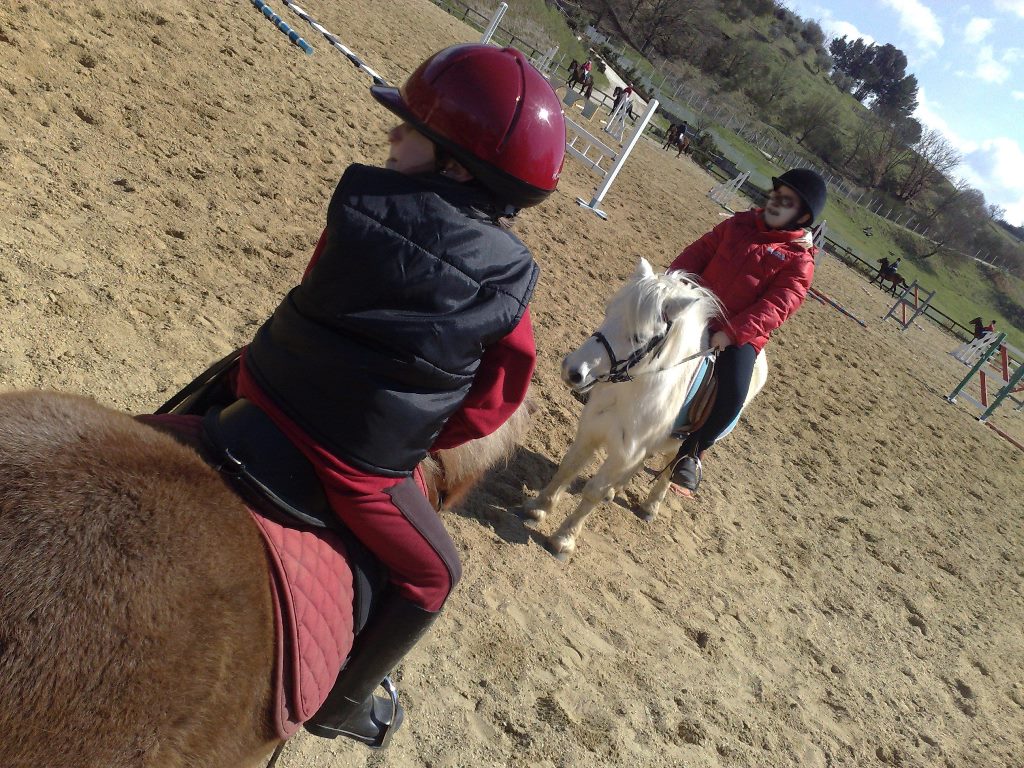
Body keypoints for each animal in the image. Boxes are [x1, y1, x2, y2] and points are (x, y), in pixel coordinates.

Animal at [520, 262, 770, 561]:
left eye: (639, 337)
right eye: (608, 312)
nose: (573, 371)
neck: (632, 391)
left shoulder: (627, 450)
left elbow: (593, 491)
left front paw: (563, 540)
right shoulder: (593, 430)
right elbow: (568, 467)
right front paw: (538, 508)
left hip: (680, 443)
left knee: (673, 465)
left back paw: (651, 506)